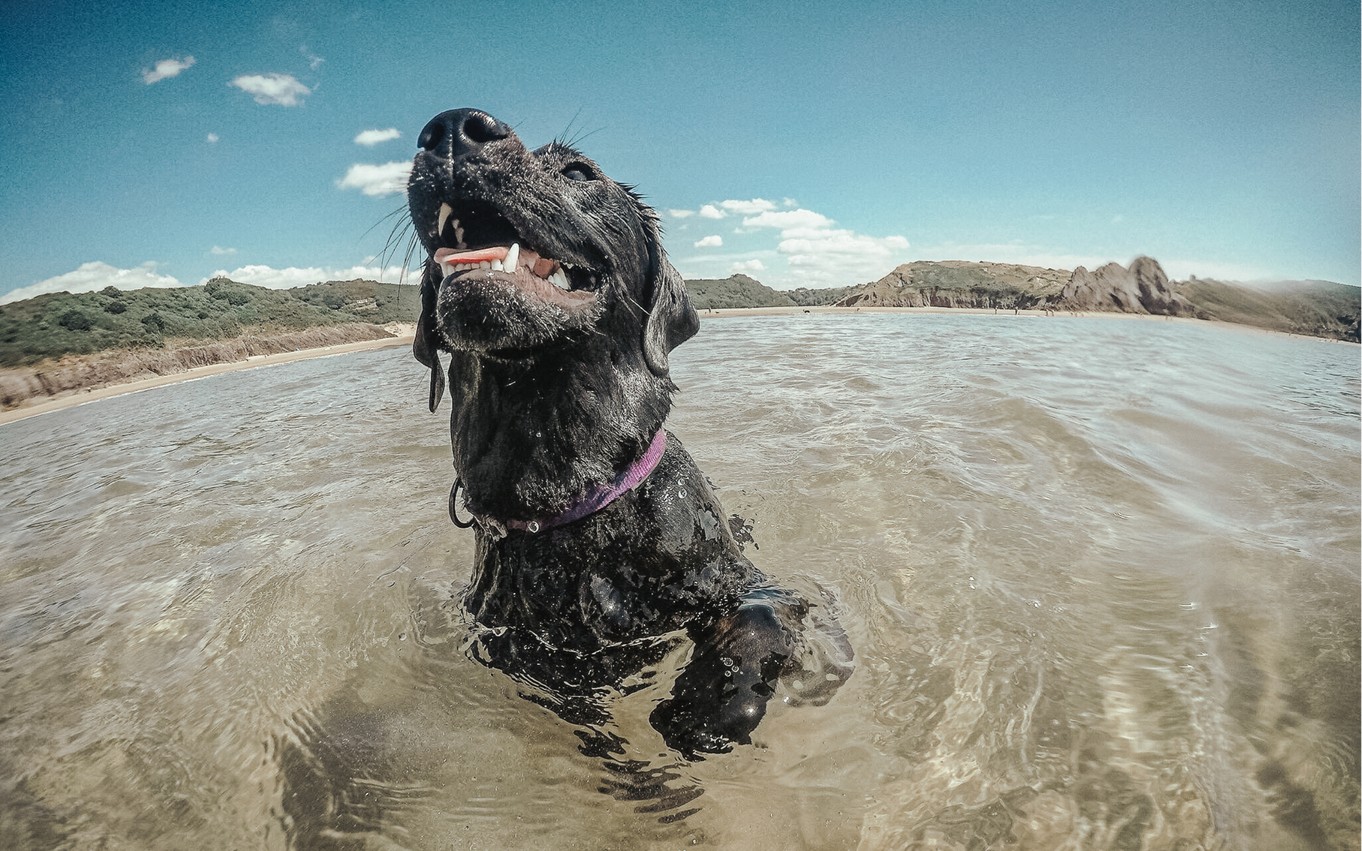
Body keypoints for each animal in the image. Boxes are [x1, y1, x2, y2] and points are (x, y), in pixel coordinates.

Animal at [403, 109, 849, 751]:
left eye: (578, 172)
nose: (451, 130)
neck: (570, 488)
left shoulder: (758, 589)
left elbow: (756, 622)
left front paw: (707, 706)